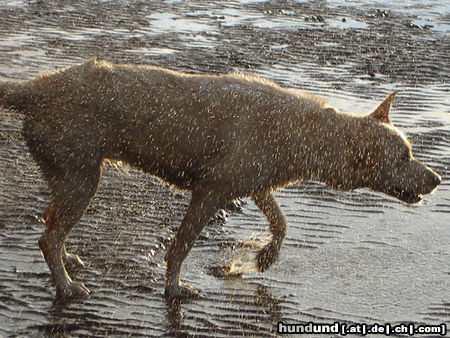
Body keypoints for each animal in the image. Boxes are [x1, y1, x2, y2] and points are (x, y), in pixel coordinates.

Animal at [0, 59, 442, 300]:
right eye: (405, 156)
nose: (437, 178)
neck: (303, 134)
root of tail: (34, 87)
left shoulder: (254, 184)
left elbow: (282, 221)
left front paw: (264, 258)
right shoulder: (209, 194)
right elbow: (180, 246)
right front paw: (175, 288)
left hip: (71, 174)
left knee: (50, 223)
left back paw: (70, 259)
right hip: (82, 178)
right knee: (48, 236)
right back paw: (67, 285)